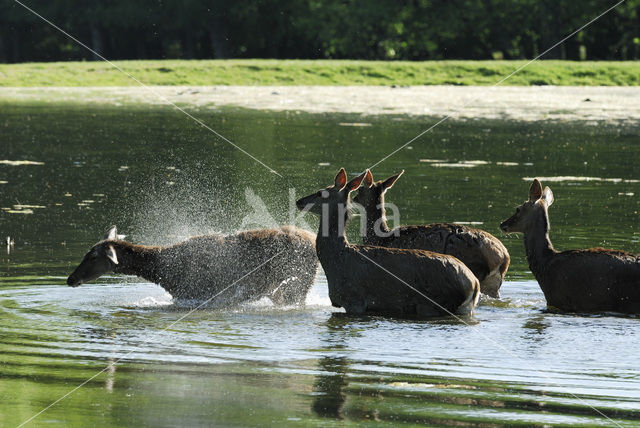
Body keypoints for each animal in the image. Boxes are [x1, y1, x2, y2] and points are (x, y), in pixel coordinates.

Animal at [298, 168, 478, 318]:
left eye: (320, 193)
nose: (299, 201)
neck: (337, 259)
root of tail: (474, 284)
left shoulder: (354, 298)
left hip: (436, 302)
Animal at [350, 171, 510, 298]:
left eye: (361, 189)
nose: (353, 198)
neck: (380, 238)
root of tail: (503, 256)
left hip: (473, 267)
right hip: (494, 282)